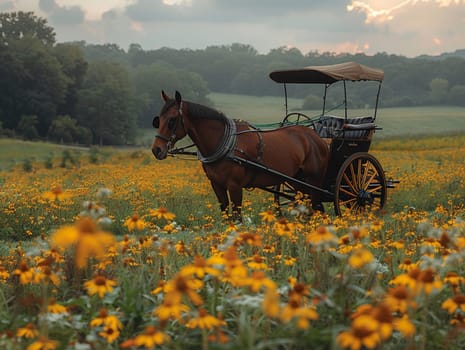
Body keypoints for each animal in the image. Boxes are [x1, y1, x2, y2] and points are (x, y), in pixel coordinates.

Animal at [150, 90, 328, 221]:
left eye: (172, 120)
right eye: (158, 119)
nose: (156, 150)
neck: (224, 143)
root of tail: (315, 137)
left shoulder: (235, 186)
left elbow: (237, 218)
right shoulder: (217, 185)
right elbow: (225, 215)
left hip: (314, 181)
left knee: (317, 207)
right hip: (298, 181)